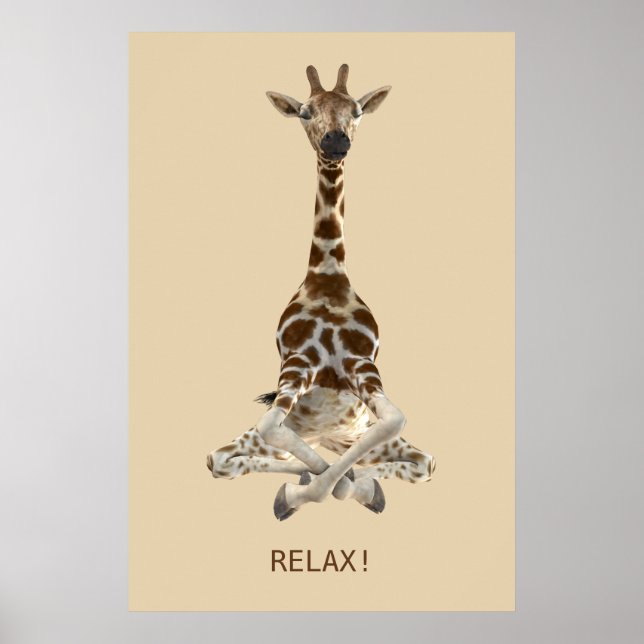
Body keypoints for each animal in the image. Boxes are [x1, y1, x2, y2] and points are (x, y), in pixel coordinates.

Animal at [207, 64, 436, 520]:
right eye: (305, 112)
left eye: (357, 110)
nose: (335, 141)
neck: (328, 279)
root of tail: (326, 436)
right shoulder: (297, 364)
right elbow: (270, 427)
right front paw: (301, 492)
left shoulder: (362, 364)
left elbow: (395, 422)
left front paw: (353, 487)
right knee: (224, 458)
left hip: (360, 438)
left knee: (420, 462)